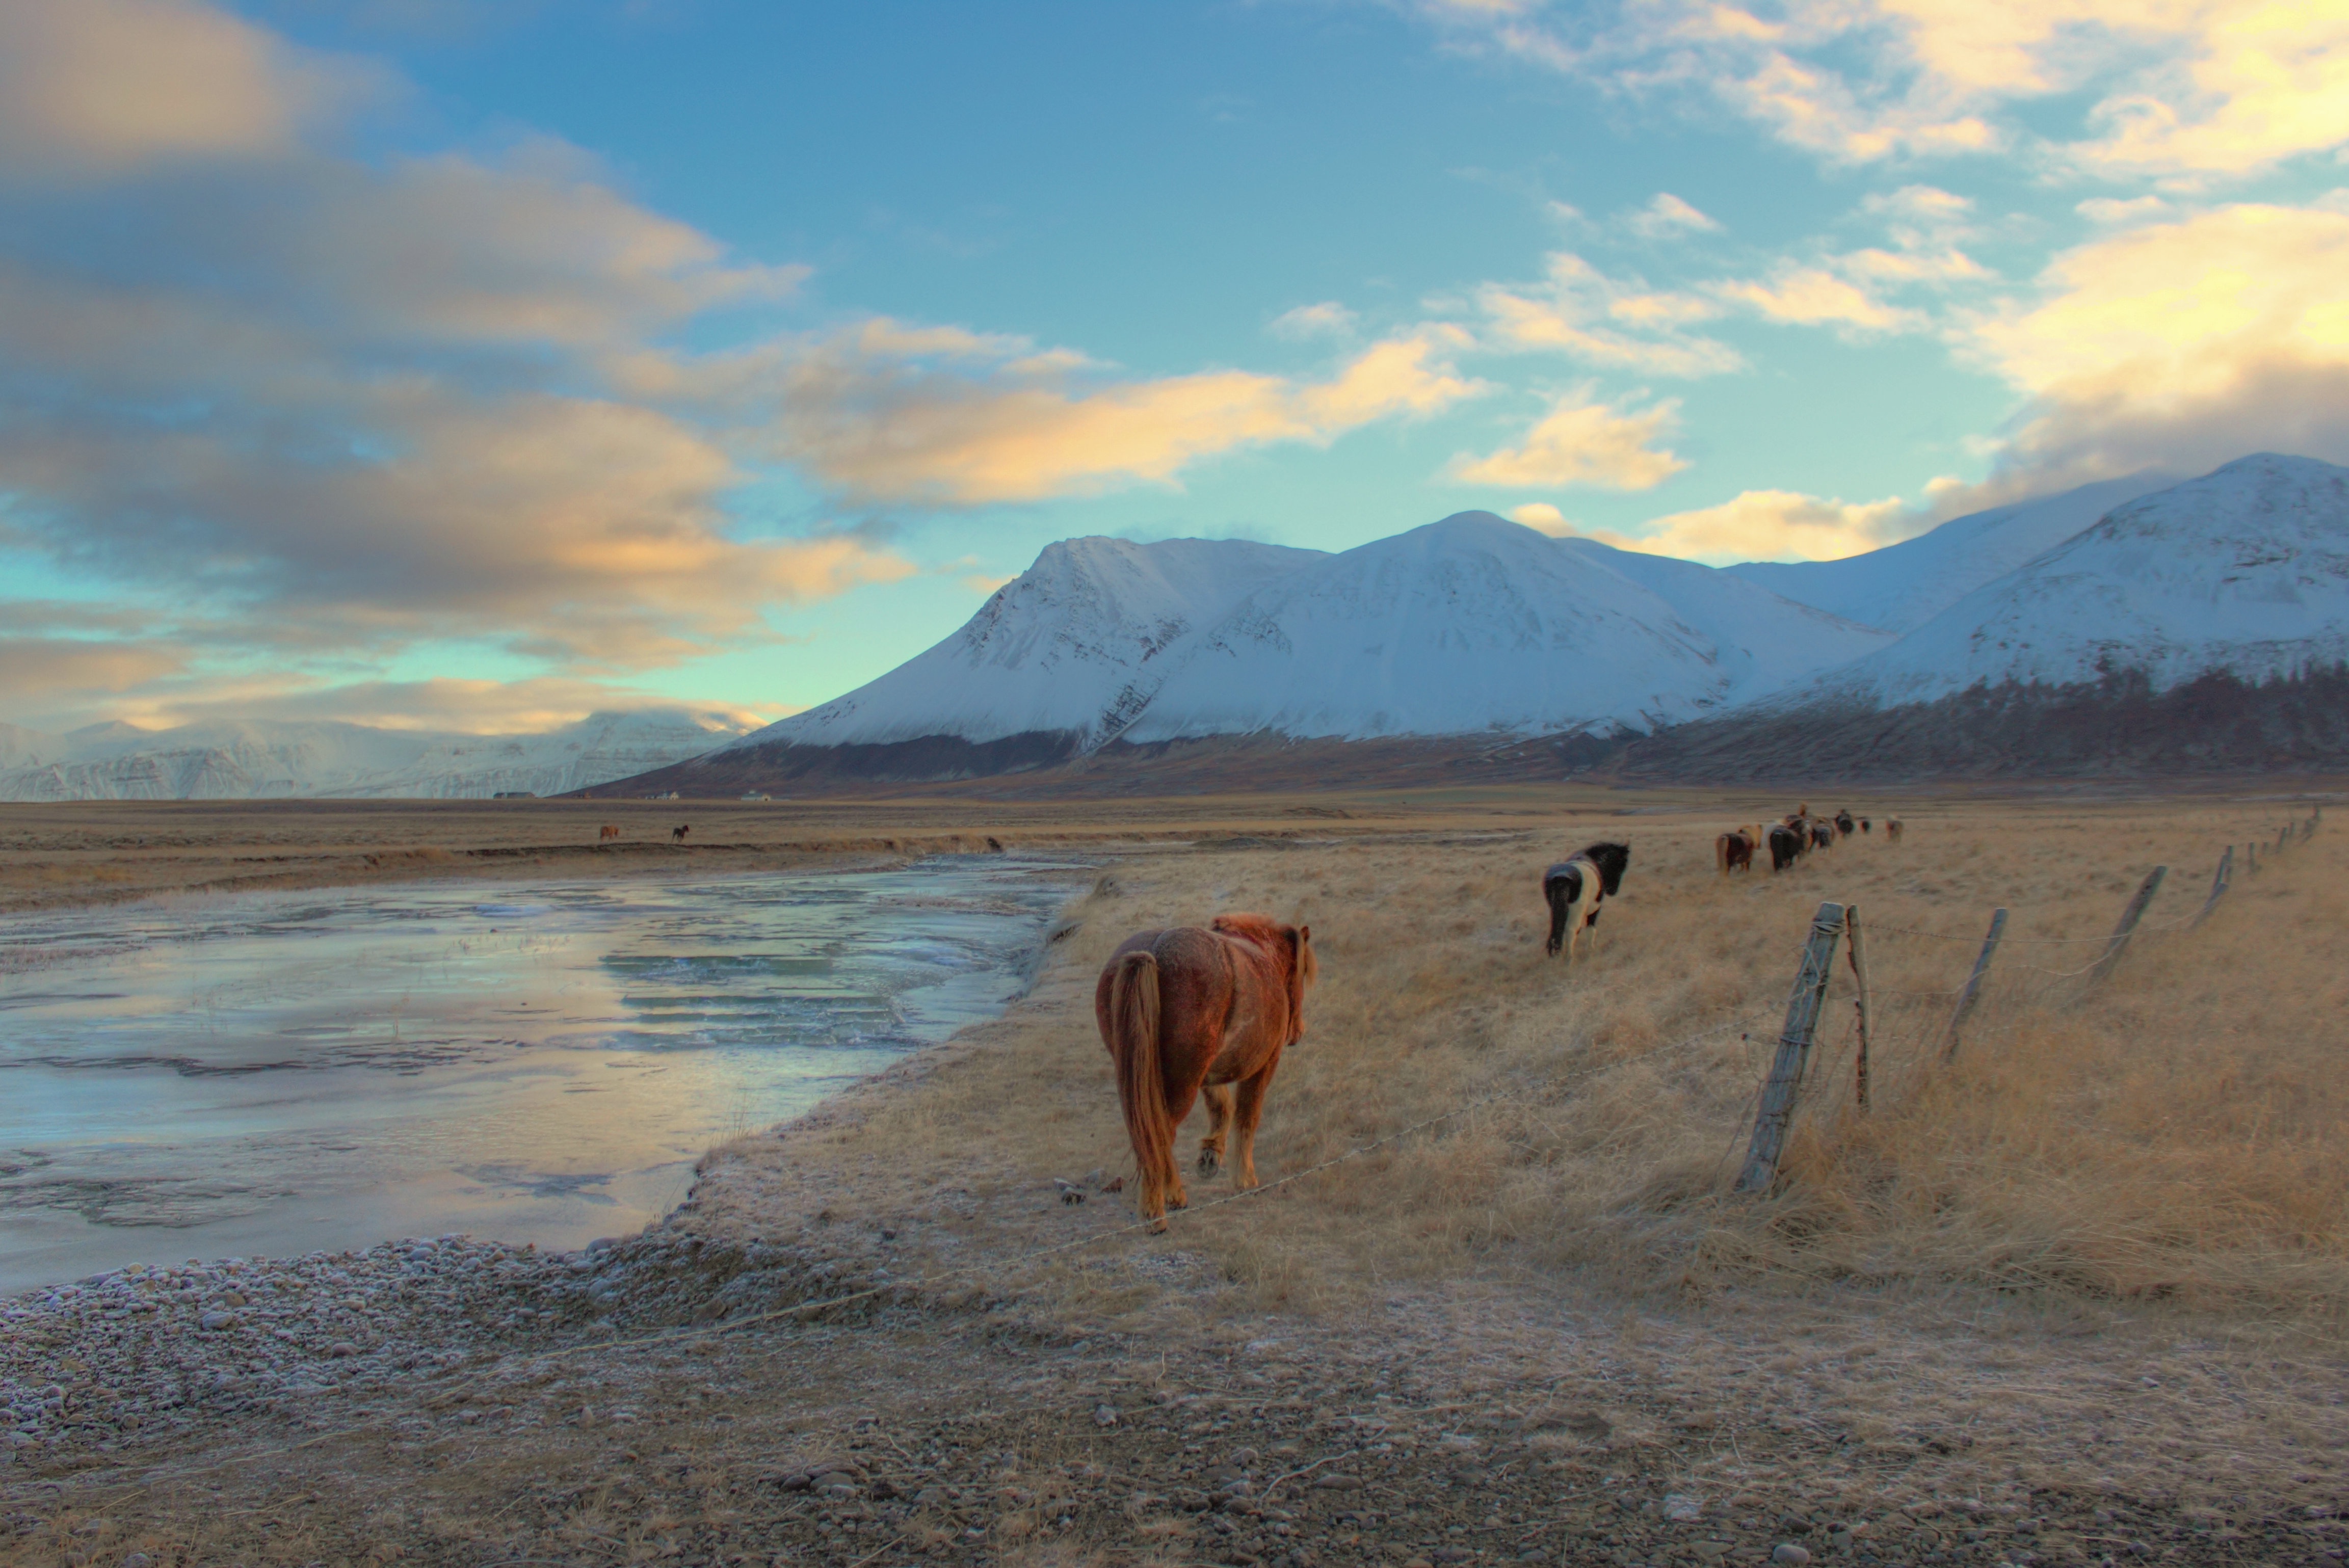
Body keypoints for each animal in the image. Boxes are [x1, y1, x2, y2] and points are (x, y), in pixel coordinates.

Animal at [1090, 911, 1315, 1230]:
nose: (1298, 1033)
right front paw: (1245, 1178)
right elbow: (1247, 1117)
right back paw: (1161, 1205)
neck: (1263, 956)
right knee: (1160, 1135)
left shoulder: (1208, 1073)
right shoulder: (1265, 1066)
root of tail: (1151, 952)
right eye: (1303, 972)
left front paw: (1211, 1154)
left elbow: (1221, 1106)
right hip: (1182, 1084)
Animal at [1541, 840, 1634, 962]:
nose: (1613, 891)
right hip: (1577, 911)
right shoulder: (1595, 909)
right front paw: (1591, 951)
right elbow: (1591, 930)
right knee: (1571, 931)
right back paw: (1570, 959)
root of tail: (1561, 877)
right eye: (1623, 864)